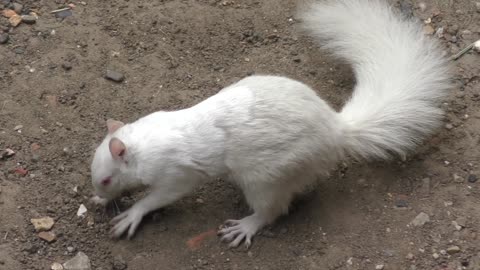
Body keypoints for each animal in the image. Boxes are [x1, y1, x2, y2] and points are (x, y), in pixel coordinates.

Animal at [89, 0, 450, 248]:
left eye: (106, 179)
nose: (100, 191)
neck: (144, 143)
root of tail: (335, 130)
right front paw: (101, 202)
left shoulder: (176, 173)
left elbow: (162, 195)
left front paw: (131, 213)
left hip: (267, 178)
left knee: (272, 210)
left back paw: (246, 225)